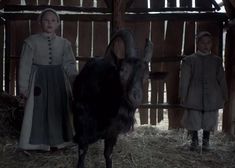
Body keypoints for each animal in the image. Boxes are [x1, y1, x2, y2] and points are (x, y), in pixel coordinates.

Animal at [73, 29, 152, 168]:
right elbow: (83, 151)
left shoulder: (113, 132)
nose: (135, 97)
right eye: (122, 70)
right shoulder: (82, 123)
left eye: (147, 74)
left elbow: (108, 154)